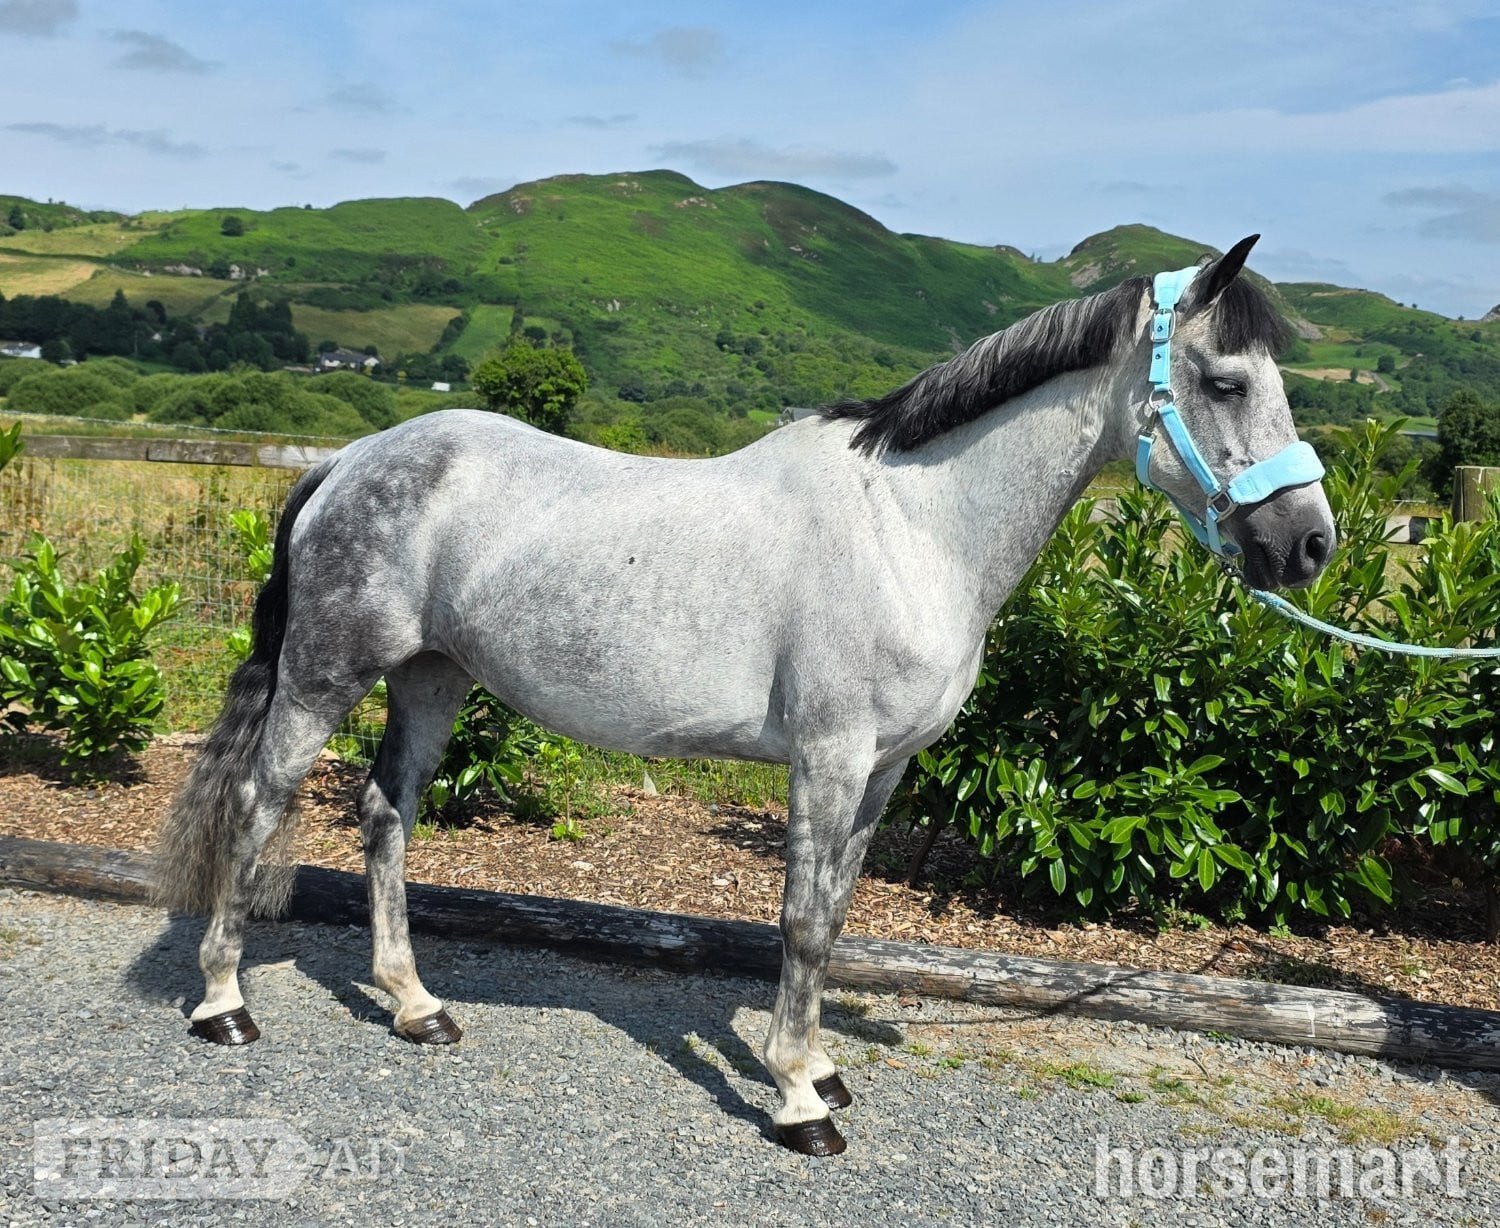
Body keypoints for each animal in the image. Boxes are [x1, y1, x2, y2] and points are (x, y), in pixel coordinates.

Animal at [154, 235, 1335, 1156]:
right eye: (1226, 380)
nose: (1308, 543)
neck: (910, 527)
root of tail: (349, 458)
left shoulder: (884, 770)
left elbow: (840, 908)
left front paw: (817, 1066)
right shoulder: (831, 755)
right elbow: (803, 922)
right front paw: (801, 1101)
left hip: (431, 681)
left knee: (385, 814)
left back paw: (415, 1006)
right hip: (324, 677)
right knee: (257, 808)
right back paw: (223, 1006)